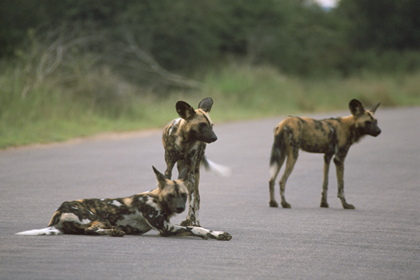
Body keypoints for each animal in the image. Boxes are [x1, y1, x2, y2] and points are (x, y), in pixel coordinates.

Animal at [15, 166, 233, 241]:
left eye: (184, 196)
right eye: (172, 196)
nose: (180, 208)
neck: (156, 199)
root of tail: (57, 213)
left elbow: (201, 228)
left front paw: (218, 234)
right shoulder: (166, 228)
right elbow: (197, 229)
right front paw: (209, 234)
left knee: (92, 230)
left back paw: (115, 231)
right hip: (92, 216)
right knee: (90, 230)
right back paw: (115, 232)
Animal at [163, 97, 230, 226]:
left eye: (211, 125)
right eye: (202, 125)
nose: (215, 138)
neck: (185, 142)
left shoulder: (191, 172)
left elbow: (192, 201)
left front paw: (192, 220)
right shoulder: (169, 167)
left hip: (194, 173)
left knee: (197, 198)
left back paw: (195, 222)